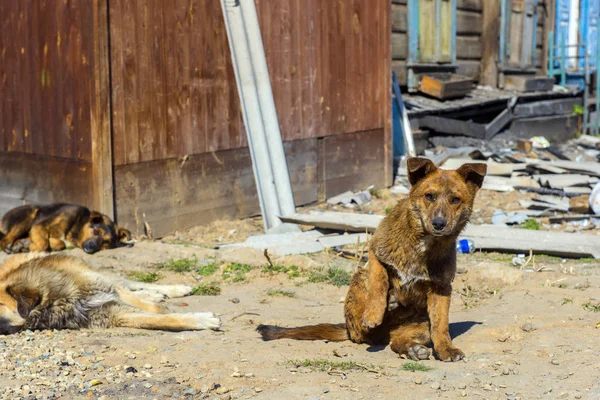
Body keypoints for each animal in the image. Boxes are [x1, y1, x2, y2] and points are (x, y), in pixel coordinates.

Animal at [0, 205, 132, 255]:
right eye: (95, 232)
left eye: (106, 242)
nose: (91, 247)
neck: (77, 224)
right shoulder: (39, 225)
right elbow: (43, 244)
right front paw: (34, 247)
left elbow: (60, 243)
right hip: (30, 214)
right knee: (5, 239)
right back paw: (11, 247)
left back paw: (21, 244)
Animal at [258, 158, 488, 360]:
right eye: (429, 196)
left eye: (455, 200)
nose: (439, 224)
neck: (423, 243)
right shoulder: (375, 253)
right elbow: (379, 282)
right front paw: (374, 313)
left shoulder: (442, 288)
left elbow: (441, 324)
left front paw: (446, 349)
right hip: (360, 278)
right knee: (361, 330)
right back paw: (385, 307)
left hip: (420, 323)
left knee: (397, 342)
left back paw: (412, 347)